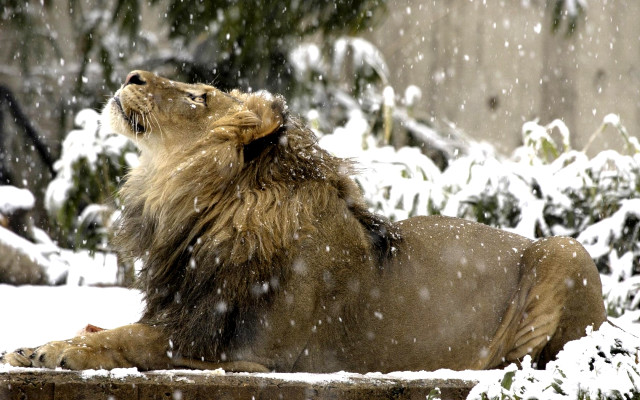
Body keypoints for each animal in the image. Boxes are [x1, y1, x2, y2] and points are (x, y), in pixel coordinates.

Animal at [2, 71, 606, 373]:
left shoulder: (245, 350)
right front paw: (33, 346)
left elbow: (122, 340)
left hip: (565, 250)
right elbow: (105, 328)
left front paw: (52, 351)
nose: (132, 74)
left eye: (200, 95)